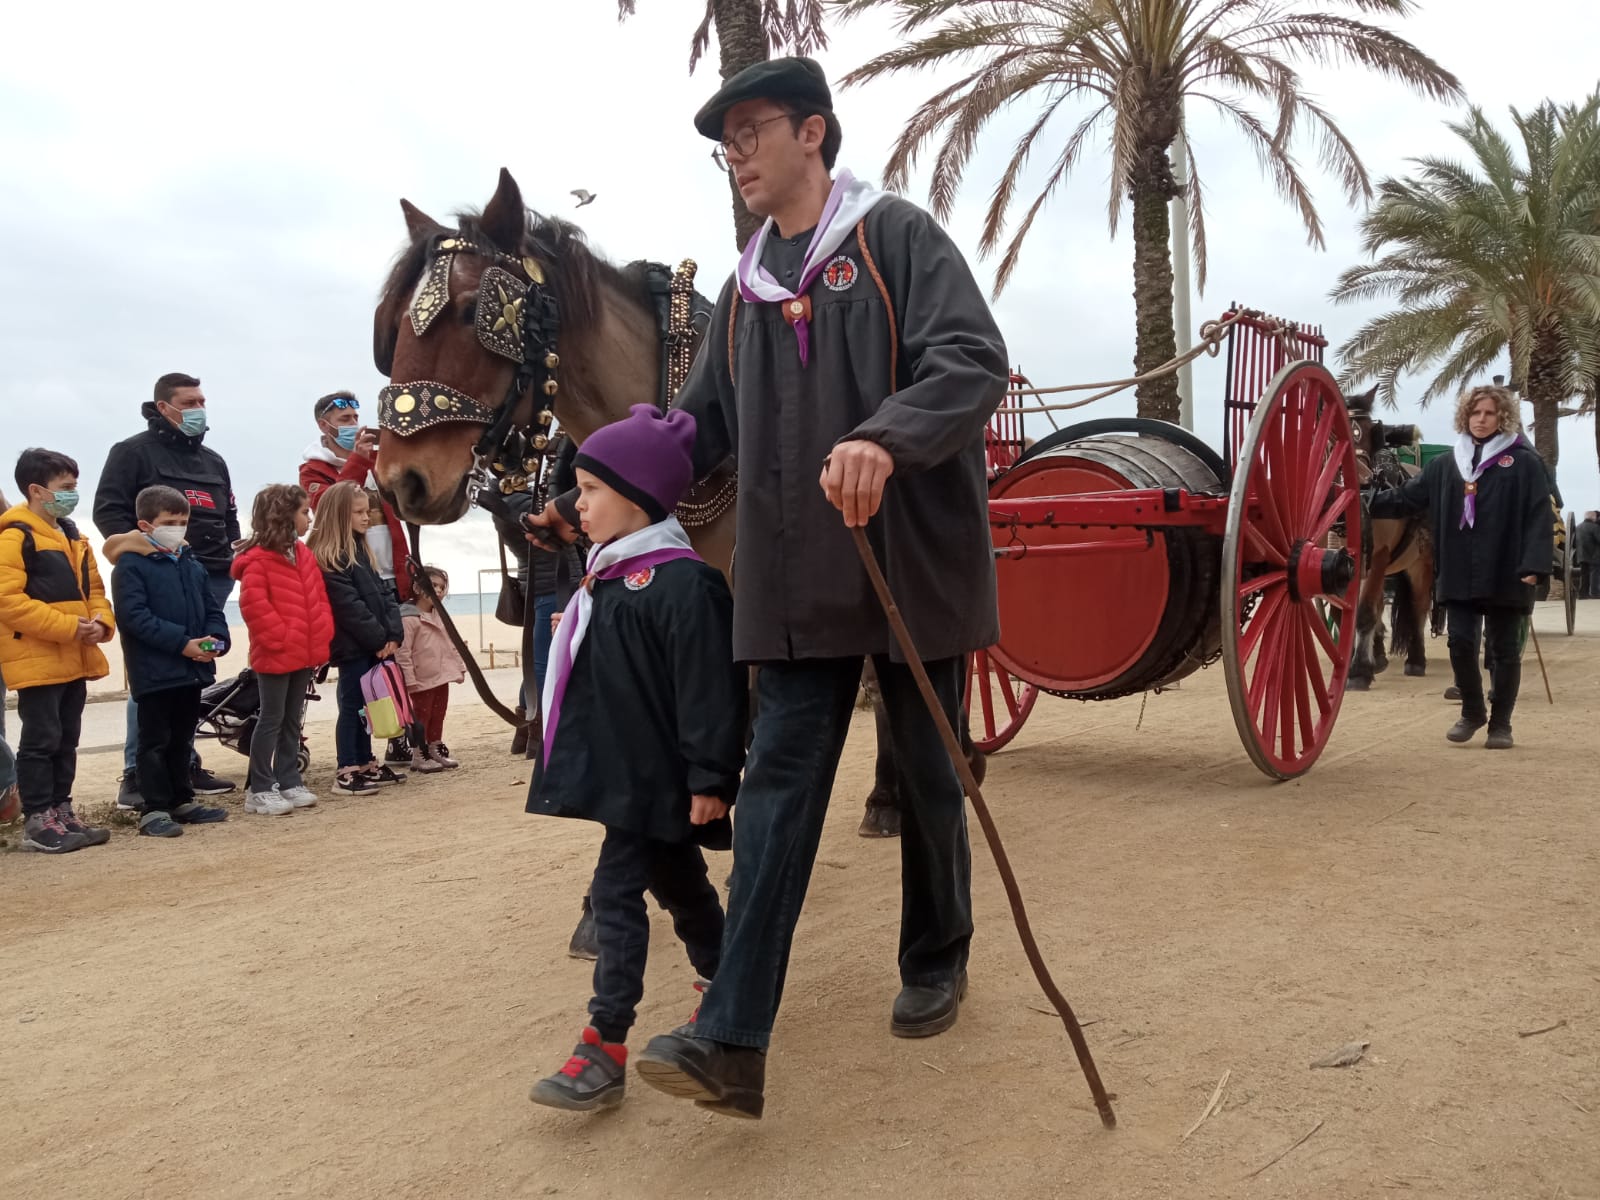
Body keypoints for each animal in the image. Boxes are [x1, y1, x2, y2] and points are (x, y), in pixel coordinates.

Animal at [1344, 385, 1433, 684]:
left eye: (1372, 431)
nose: (1361, 480)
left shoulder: (1379, 556)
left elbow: (1364, 612)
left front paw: (1359, 671)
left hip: (1421, 563)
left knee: (1419, 607)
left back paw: (1416, 659)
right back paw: (1379, 656)